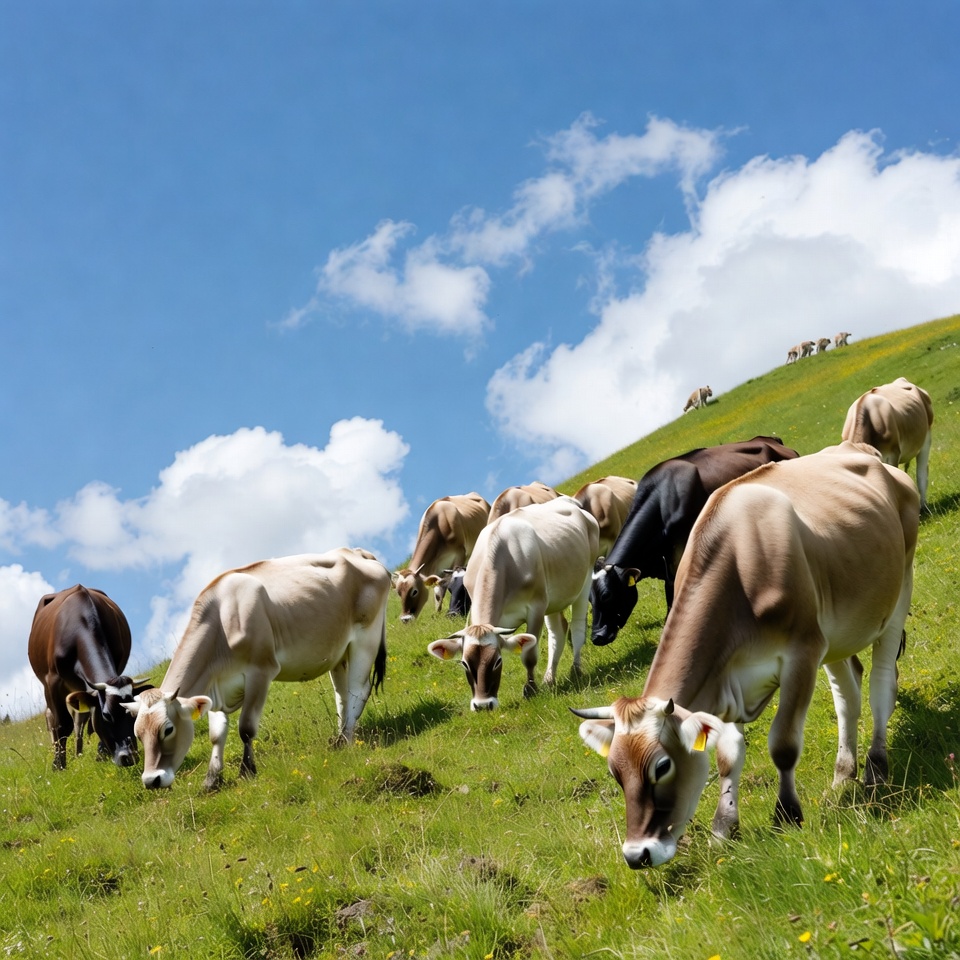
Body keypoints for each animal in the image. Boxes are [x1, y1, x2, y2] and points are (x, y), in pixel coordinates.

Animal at [27, 585, 150, 770]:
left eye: (134, 714)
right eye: (106, 715)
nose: (129, 758)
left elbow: (87, 716)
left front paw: (101, 752)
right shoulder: (53, 682)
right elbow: (62, 723)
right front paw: (59, 765)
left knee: (80, 718)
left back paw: (79, 753)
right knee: (51, 716)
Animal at [123, 549, 390, 790]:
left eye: (168, 729)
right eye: (138, 734)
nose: (151, 780)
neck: (222, 621)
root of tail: (355, 552)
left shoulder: (260, 672)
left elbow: (246, 729)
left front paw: (247, 771)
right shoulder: (215, 689)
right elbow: (216, 734)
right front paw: (212, 780)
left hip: (366, 637)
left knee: (357, 691)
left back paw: (347, 738)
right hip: (338, 651)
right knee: (341, 696)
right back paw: (338, 738)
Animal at [392, 493, 490, 622]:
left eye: (414, 591)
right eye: (398, 592)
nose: (405, 619)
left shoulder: (460, 554)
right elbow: (438, 591)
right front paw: (437, 613)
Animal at [428, 496, 600, 711]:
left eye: (497, 661)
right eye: (465, 663)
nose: (483, 705)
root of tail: (568, 500)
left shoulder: (536, 608)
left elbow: (529, 655)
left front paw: (530, 689)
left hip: (585, 578)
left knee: (577, 627)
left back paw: (575, 670)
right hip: (553, 598)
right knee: (557, 632)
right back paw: (549, 678)